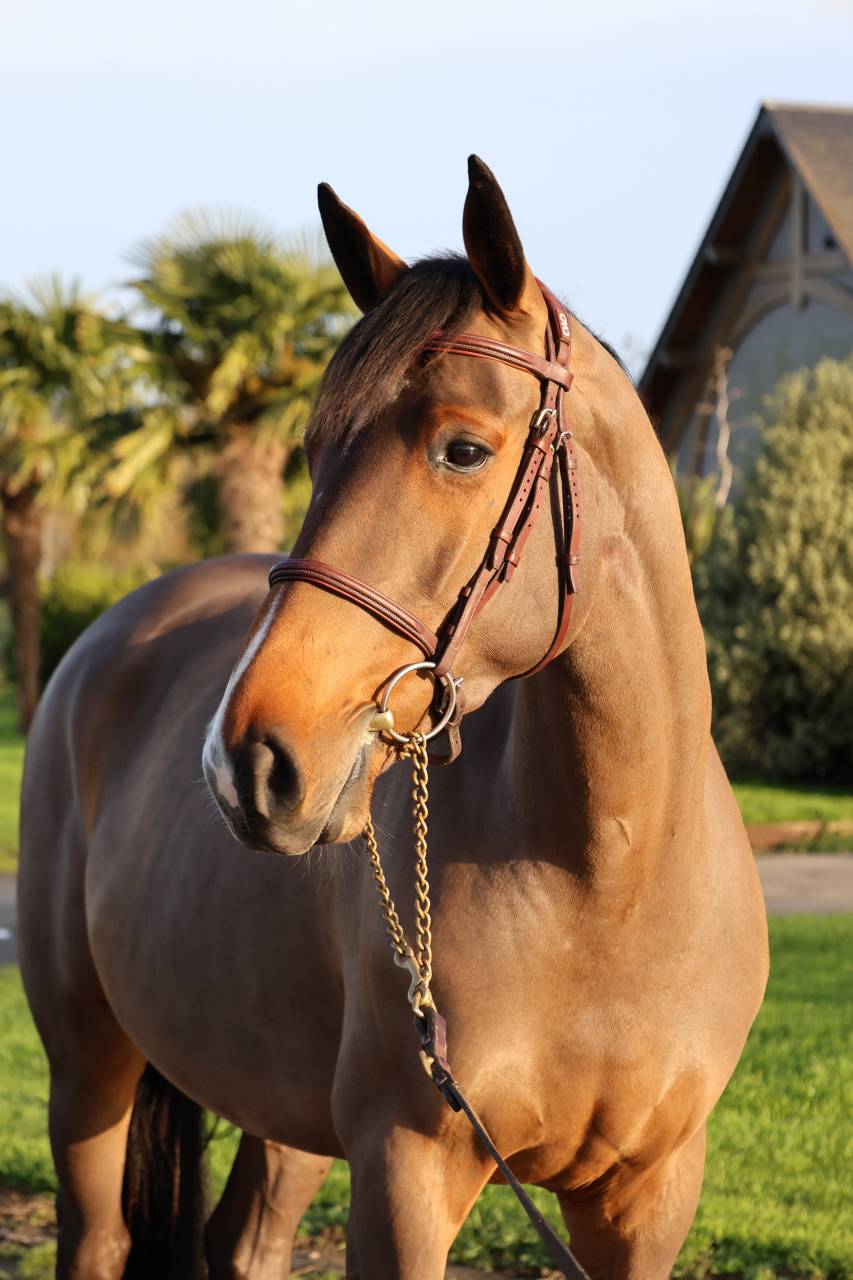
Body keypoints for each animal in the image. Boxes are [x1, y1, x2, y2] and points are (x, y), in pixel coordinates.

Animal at [18, 156, 768, 1280]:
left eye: (461, 448)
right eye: (312, 447)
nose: (248, 763)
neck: (610, 882)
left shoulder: (648, 1197)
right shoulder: (406, 1173)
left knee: (244, 1242)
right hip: (87, 1062)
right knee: (100, 1235)